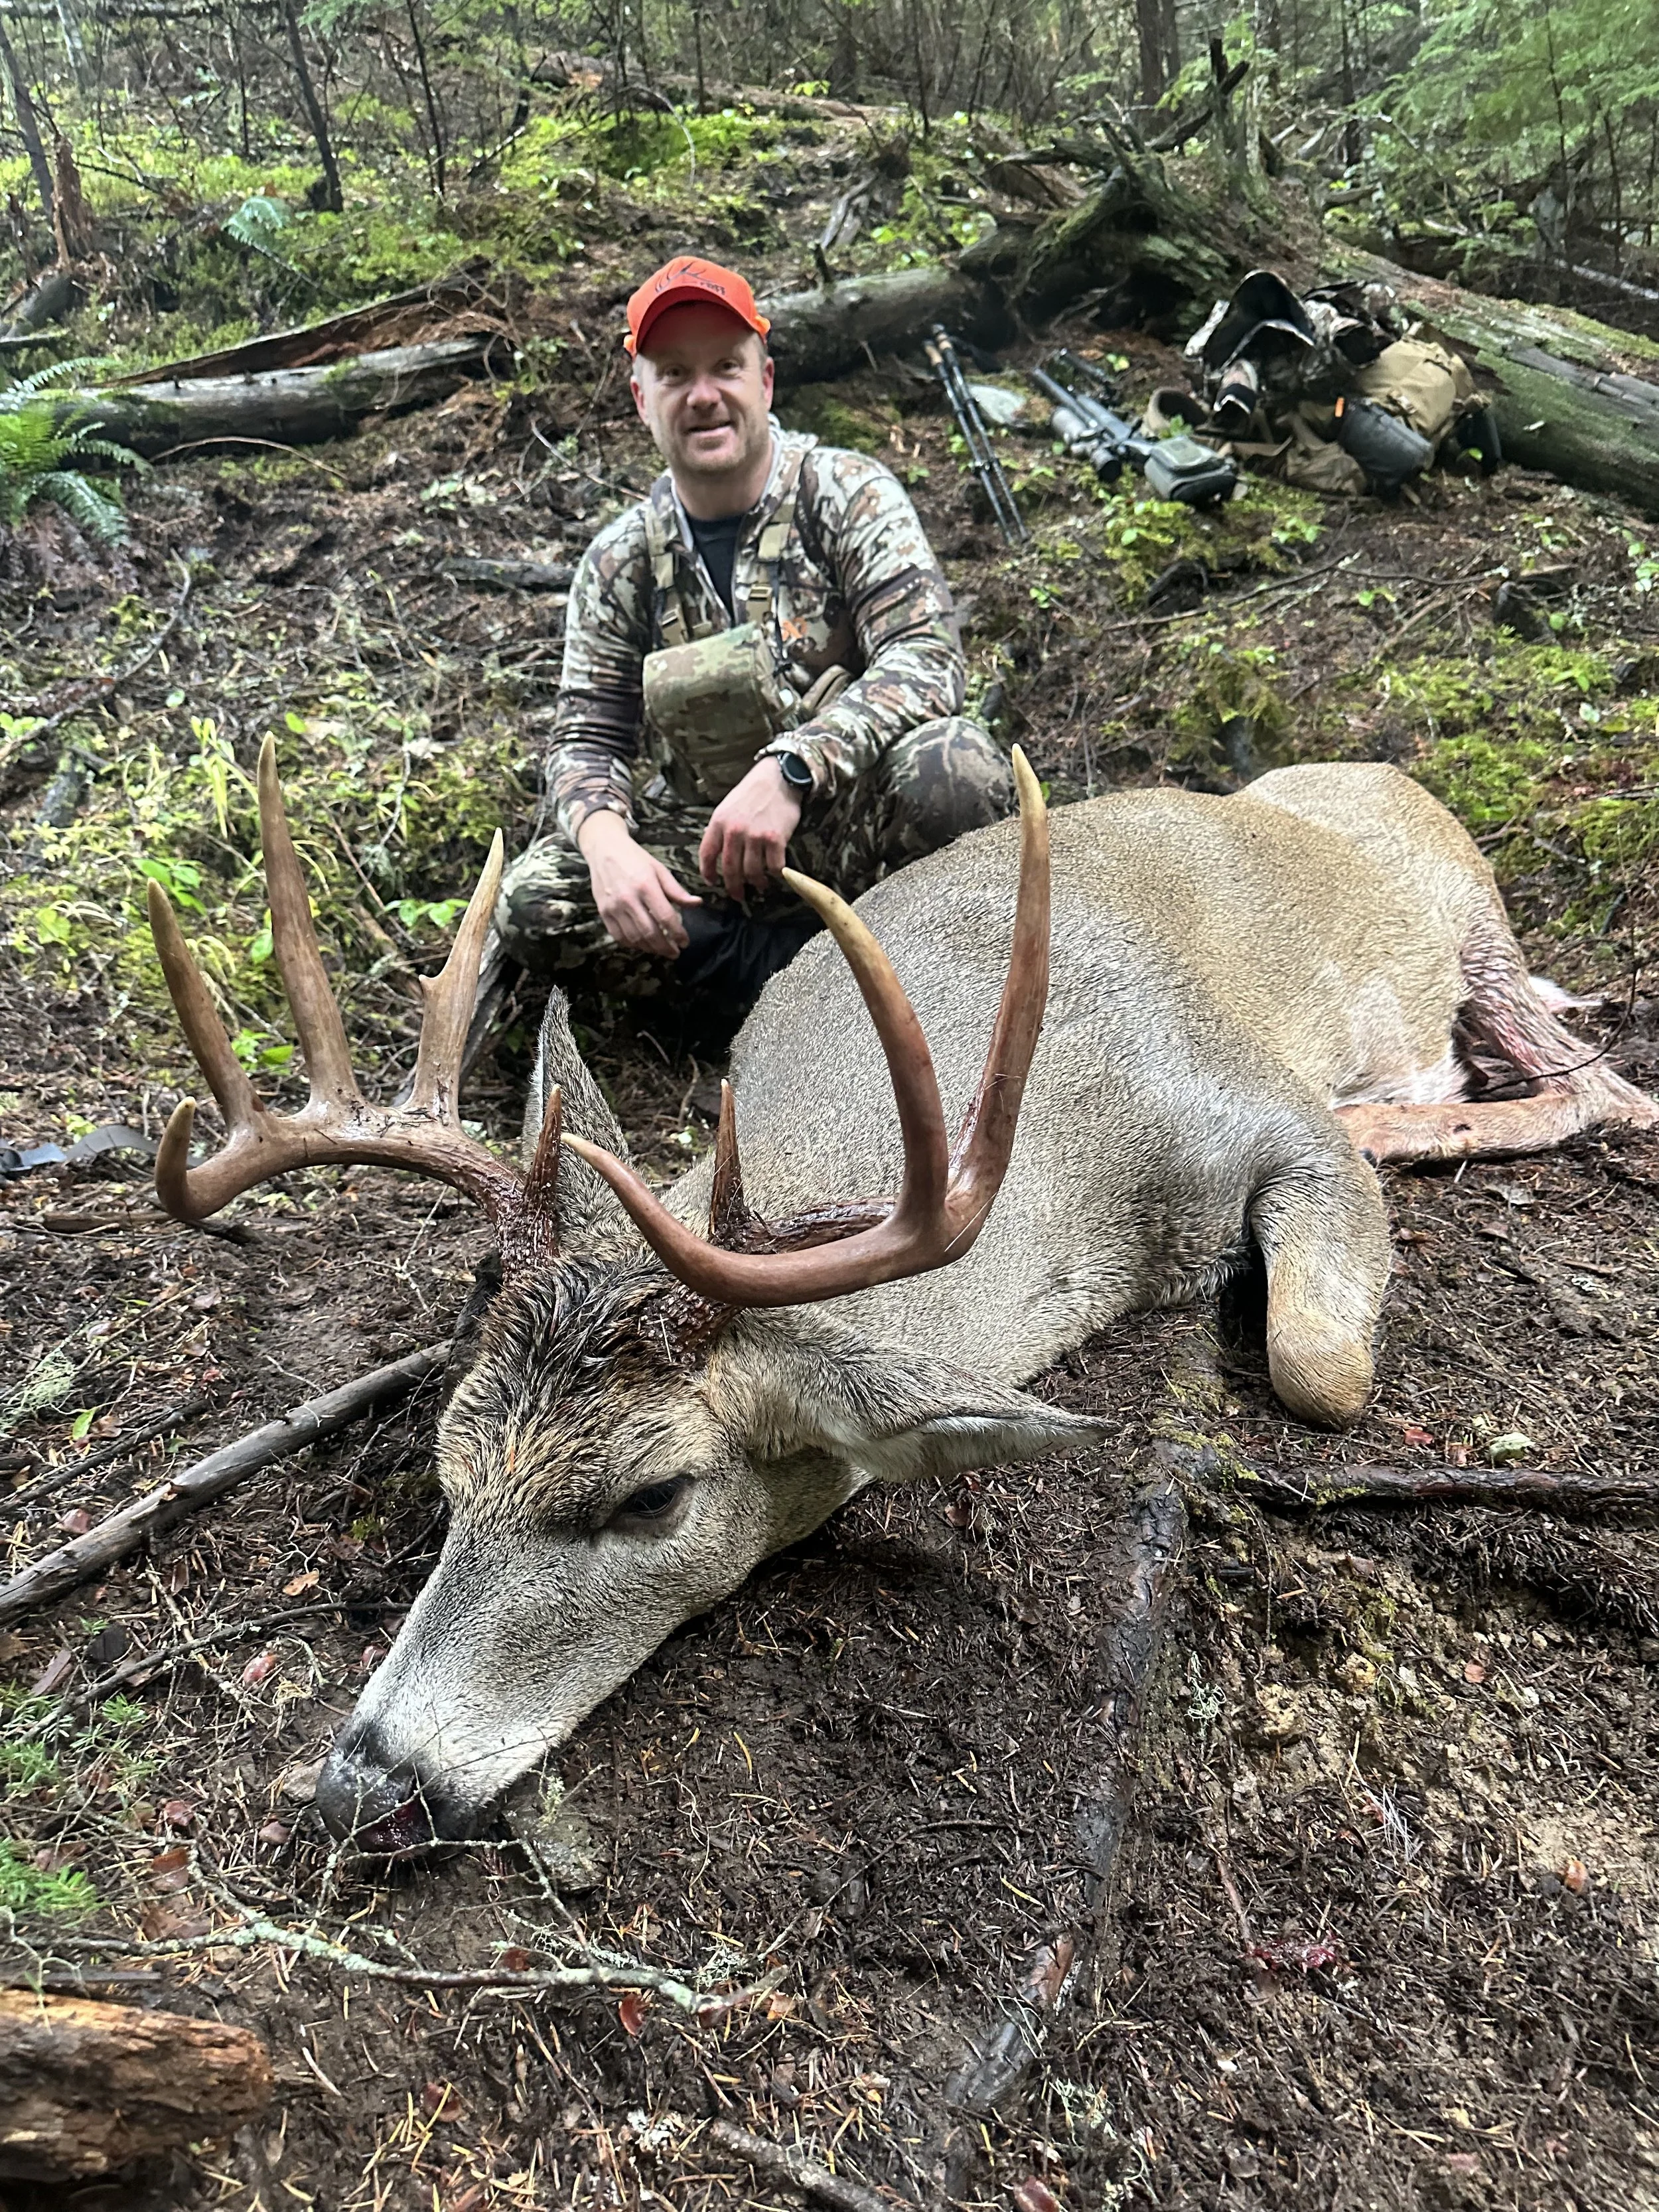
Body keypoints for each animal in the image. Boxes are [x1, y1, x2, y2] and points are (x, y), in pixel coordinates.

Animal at [147, 737, 1655, 1850]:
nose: (362, 1784)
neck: (1076, 1173)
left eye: (652, 1497)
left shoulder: (1259, 1109)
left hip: (1473, 932)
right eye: (449, 1467)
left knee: (1600, 1087)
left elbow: (1317, 1368)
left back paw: (1411, 1111)